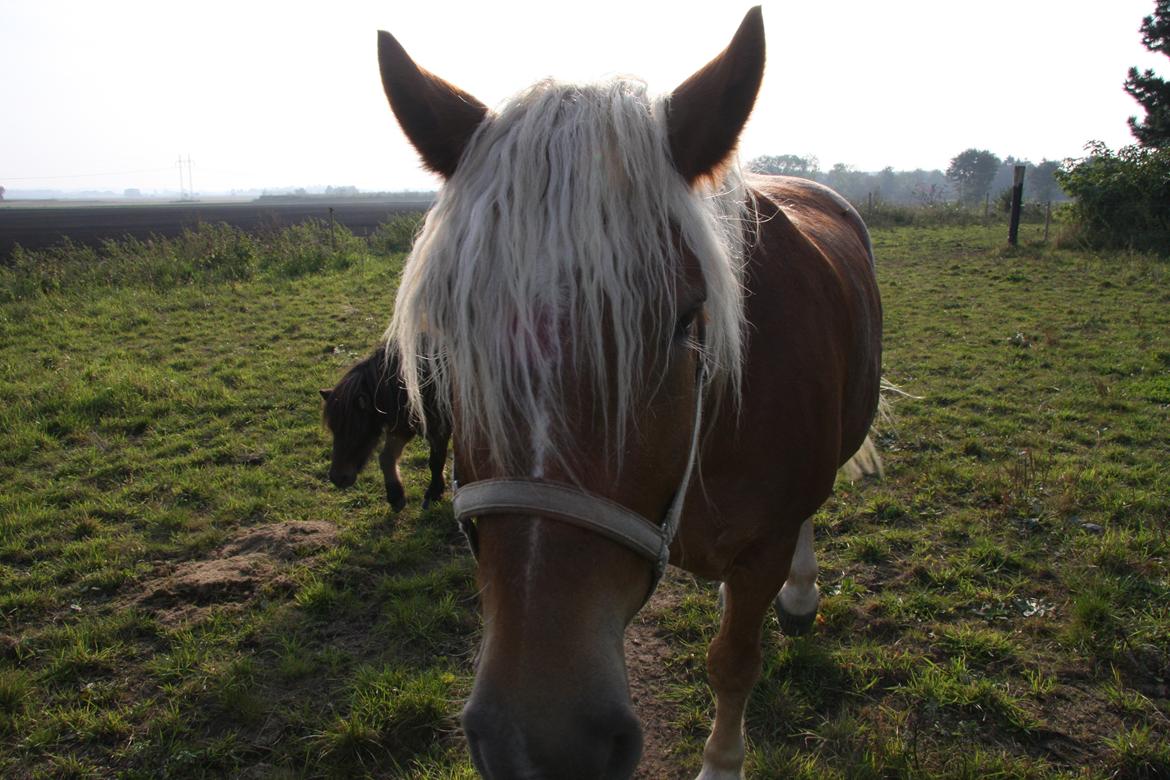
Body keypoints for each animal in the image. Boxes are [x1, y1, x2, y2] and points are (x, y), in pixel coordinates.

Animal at [320, 348, 451, 512]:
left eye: (355, 429)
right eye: (333, 428)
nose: (337, 478)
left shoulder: (439, 430)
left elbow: (435, 462)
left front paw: (434, 492)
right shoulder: (402, 425)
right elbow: (386, 458)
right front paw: (396, 496)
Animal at [379, 7, 879, 780]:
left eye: (684, 319)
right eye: (451, 330)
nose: (541, 742)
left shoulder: (762, 548)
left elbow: (733, 662)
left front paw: (721, 762)